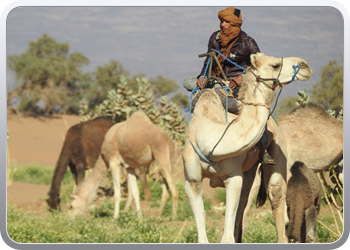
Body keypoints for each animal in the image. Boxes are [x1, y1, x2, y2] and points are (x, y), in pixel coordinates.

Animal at [182, 52, 314, 242]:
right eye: (275, 65)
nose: (305, 66)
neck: (209, 136)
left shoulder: (233, 177)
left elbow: (227, 238)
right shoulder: (192, 181)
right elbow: (203, 237)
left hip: (278, 155)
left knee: (275, 196)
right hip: (249, 171)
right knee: (243, 204)